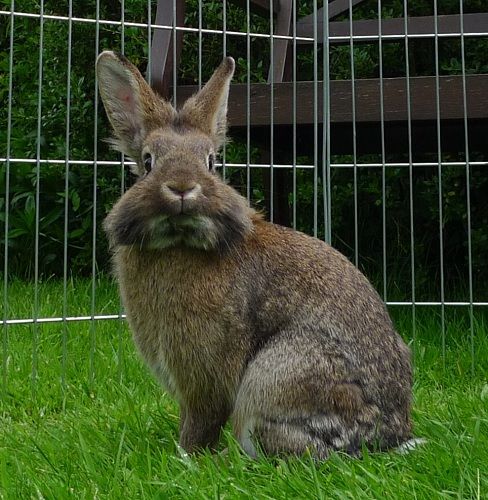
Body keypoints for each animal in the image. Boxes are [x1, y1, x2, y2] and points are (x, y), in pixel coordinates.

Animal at [97, 49, 414, 458]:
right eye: (149, 161)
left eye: (211, 161)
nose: (182, 187)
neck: (180, 240)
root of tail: (387, 435)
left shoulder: (204, 372)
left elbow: (200, 421)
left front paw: (187, 457)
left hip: (277, 374)